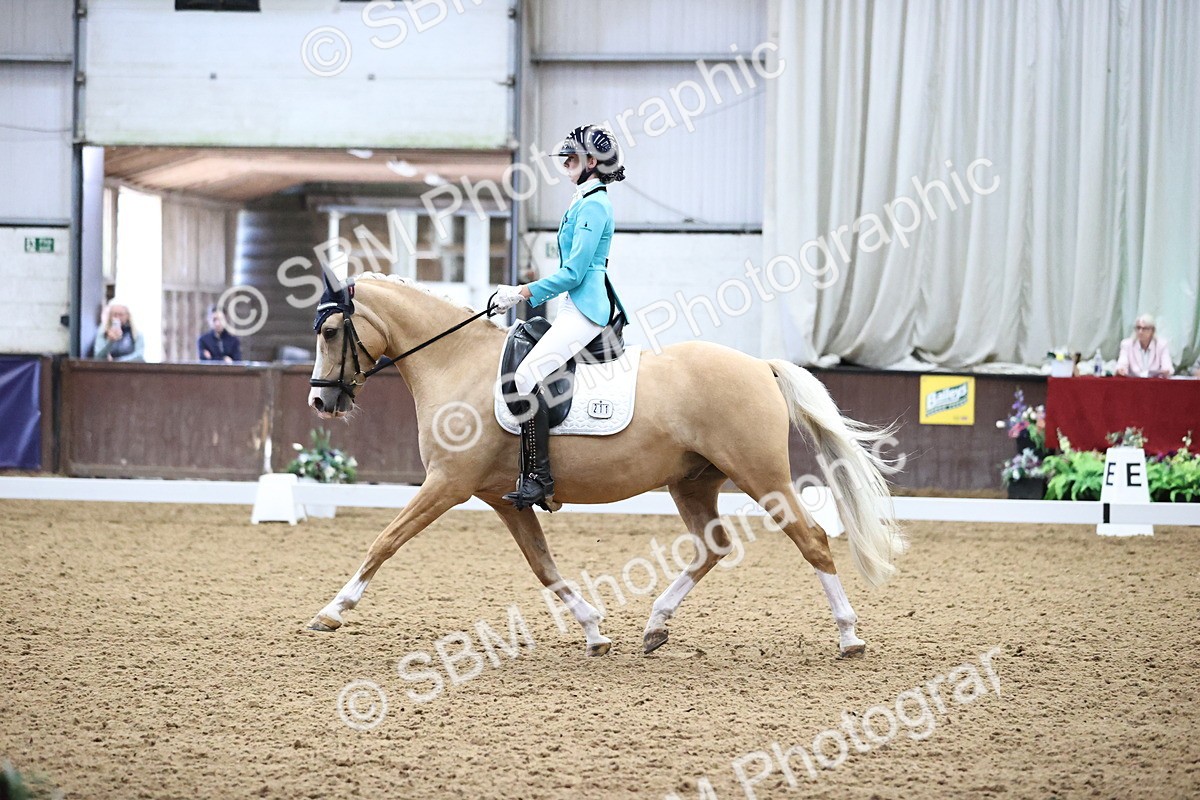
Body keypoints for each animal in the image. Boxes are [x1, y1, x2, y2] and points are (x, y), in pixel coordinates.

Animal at [305, 272, 906, 657]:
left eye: (331, 332)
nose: (319, 401)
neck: (458, 363)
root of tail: (760, 366)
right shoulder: (502, 498)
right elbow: (544, 567)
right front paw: (595, 631)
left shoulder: (447, 484)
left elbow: (384, 541)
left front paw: (333, 610)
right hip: (692, 482)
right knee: (712, 547)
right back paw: (655, 627)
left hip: (762, 476)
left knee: (812, 540)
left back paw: (849, 636)